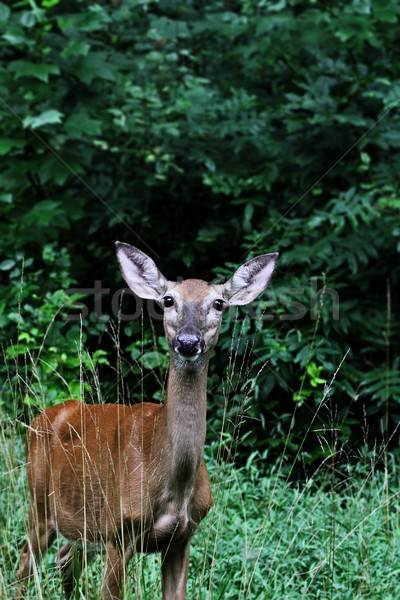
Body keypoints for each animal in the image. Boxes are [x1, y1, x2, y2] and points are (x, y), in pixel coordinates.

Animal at [15, 241, 278, 596]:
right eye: (168, 300)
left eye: (219, 303)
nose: (188, 341)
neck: (173, 482)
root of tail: (40, 418)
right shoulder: (119, 531)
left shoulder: (182, 538)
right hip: (40, 504)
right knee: (24, 563)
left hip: (83, 528)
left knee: (65, 559)